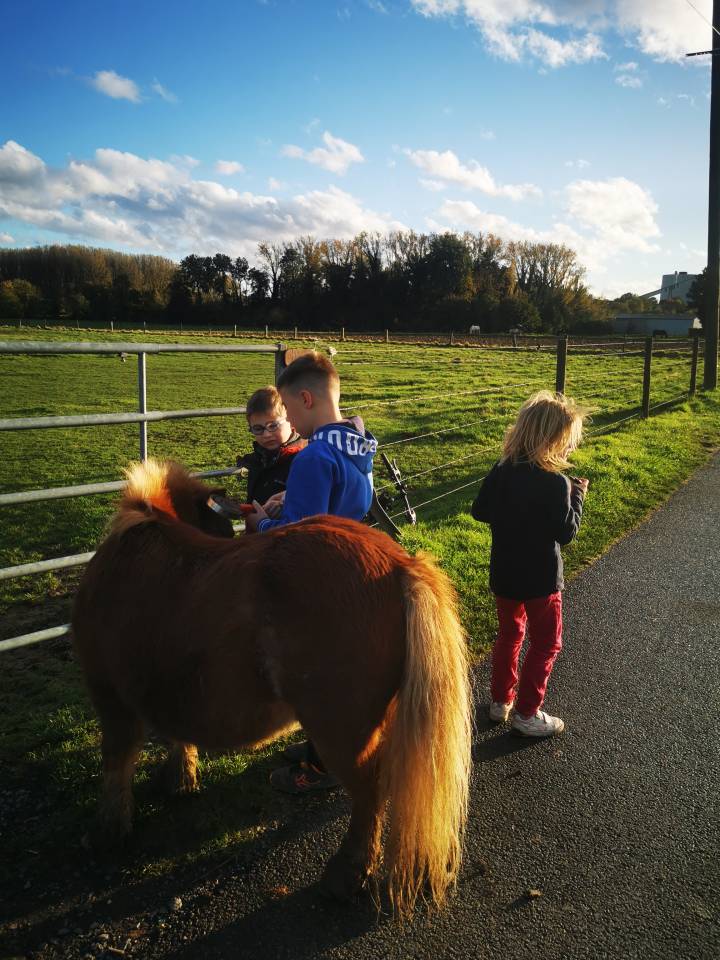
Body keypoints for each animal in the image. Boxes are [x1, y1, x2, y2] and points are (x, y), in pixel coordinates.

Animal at [72, 458, 472, 915]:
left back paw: (346, 874)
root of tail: (400, 564)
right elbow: (174, 737)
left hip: (341, 732)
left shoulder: (111, 698)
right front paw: (182, 777)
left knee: (370, 790)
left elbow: (116, 763)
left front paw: (108, 830)